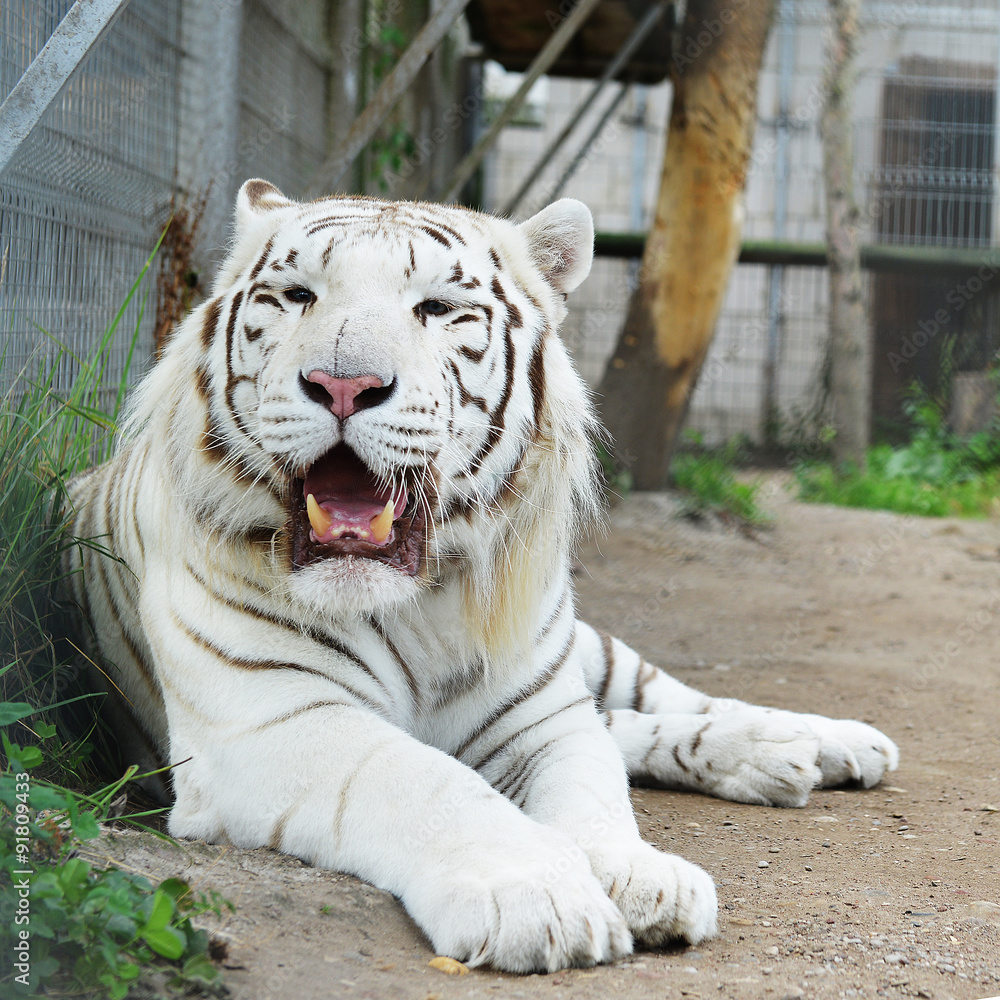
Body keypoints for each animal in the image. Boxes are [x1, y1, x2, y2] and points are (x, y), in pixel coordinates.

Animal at [66, 179, 899, 974]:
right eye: (298, 295)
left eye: (436, 308)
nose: (342, 384)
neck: (414, 606)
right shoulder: (273, 718)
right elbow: (431, 784)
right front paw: (540, 900)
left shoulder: (541, 718)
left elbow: (594, 792)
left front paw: (639, 876)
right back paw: (780, 756)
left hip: (582, 650)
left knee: (654, 699)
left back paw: (817, 741)